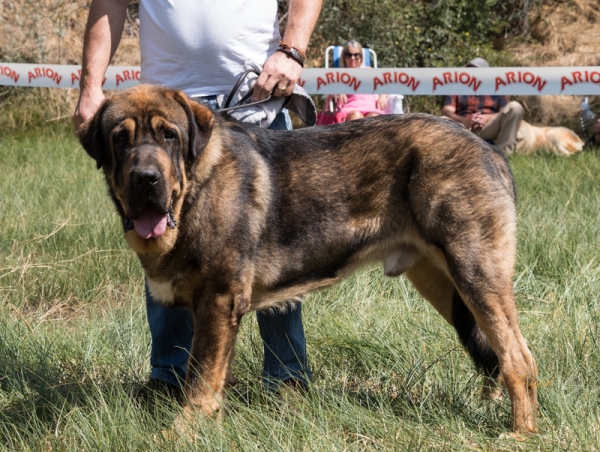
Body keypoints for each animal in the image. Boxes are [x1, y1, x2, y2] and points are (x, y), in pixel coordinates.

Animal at [78, 85, 540, 434]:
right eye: (120, 138)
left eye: (169, 136)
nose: (145, 179)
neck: (195, 189)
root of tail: (489, 148)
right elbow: (202, 369)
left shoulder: (219, 301)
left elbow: (201, 376)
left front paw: (183, 433)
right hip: (443, 283)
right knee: (495, 354)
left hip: (476, 274)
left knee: (518, 359)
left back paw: (520, 433)